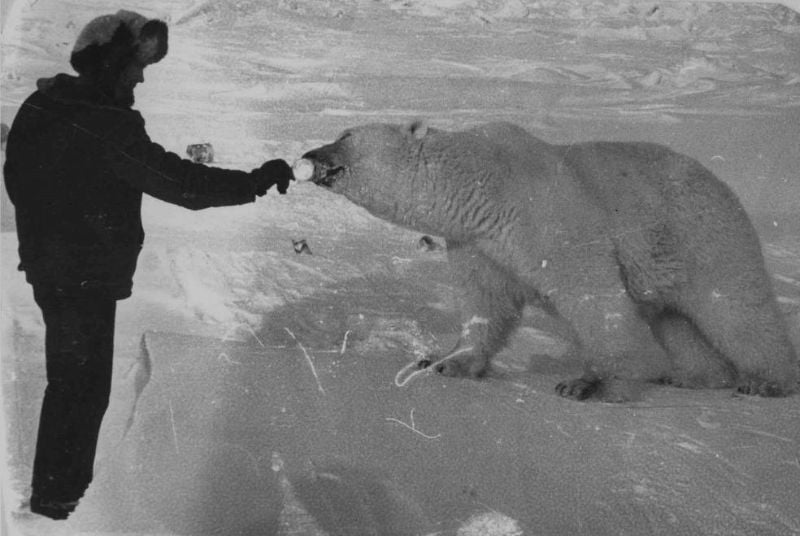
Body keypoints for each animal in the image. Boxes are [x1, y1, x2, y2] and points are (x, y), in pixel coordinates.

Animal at [301, 120, 798, 401]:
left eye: (345, 135)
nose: (308, 154)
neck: (477, 183)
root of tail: (721, 182)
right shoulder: (477, 242)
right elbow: (485, 302)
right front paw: (446, 361)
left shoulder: (546, 215)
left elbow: (592, 294)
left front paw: (590, 383)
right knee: (674, 322)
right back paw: (693, 376)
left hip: (701, 236)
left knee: (735, 309)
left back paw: (766, 381)